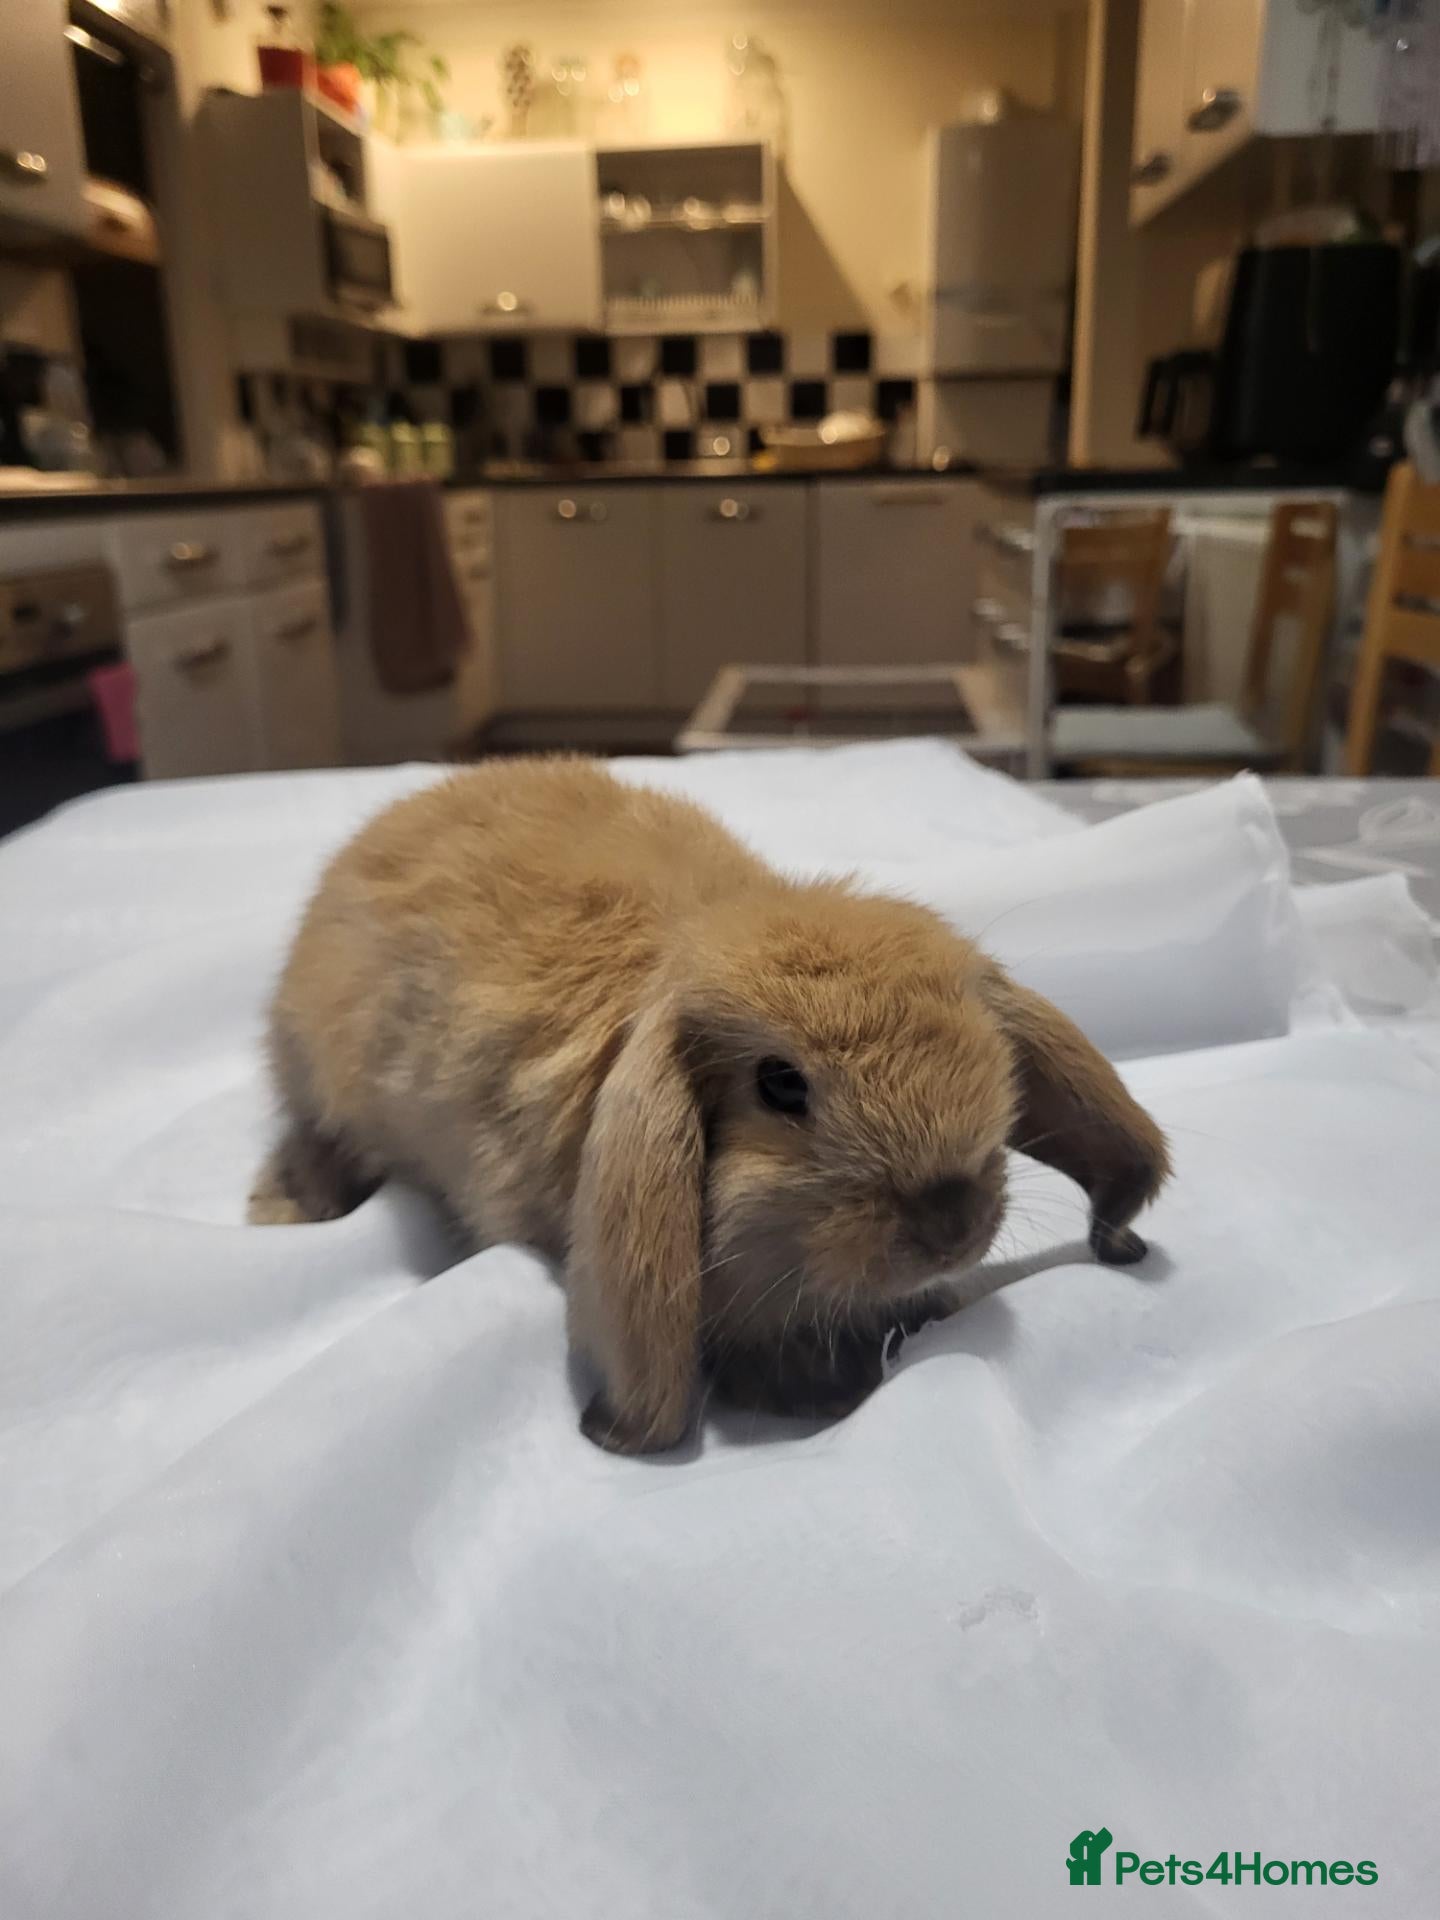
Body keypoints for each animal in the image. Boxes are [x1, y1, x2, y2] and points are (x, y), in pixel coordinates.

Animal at [249, 756, 1170, 1454]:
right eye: (781, 1085)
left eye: (987, 1046)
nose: (951, 1221)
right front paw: (815, 1395)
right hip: (323, 1086)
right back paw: (285, 1207)